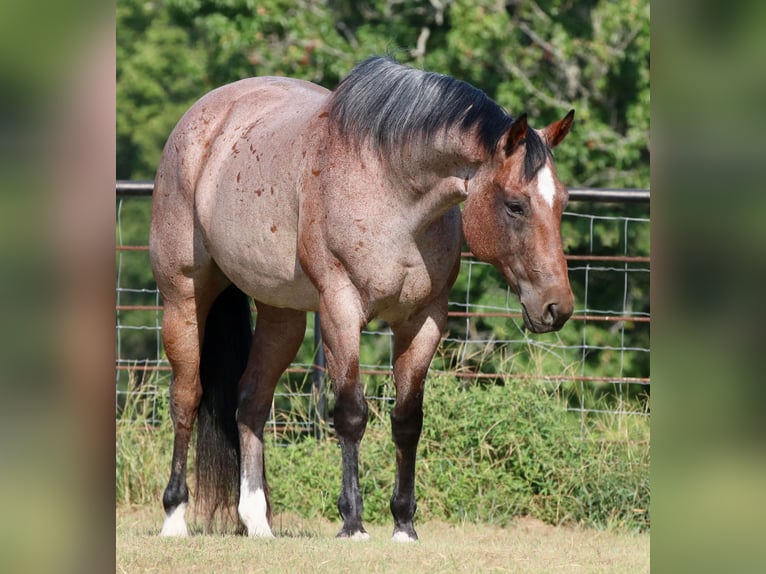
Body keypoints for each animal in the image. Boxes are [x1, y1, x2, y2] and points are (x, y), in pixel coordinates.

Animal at [150, 56, 572, 544]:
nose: (557, 307)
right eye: (515, 205)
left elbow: (407, 420)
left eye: (562, 202)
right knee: (186, 397)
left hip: (283, 316)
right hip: (184, 298)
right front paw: (352, 522)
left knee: (251, 401)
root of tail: (202, 118)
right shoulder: (341, 310)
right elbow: (351, 412)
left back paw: (257, 522)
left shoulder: (423, 320)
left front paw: (404, 524)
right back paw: (174, 516)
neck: (392, 194)